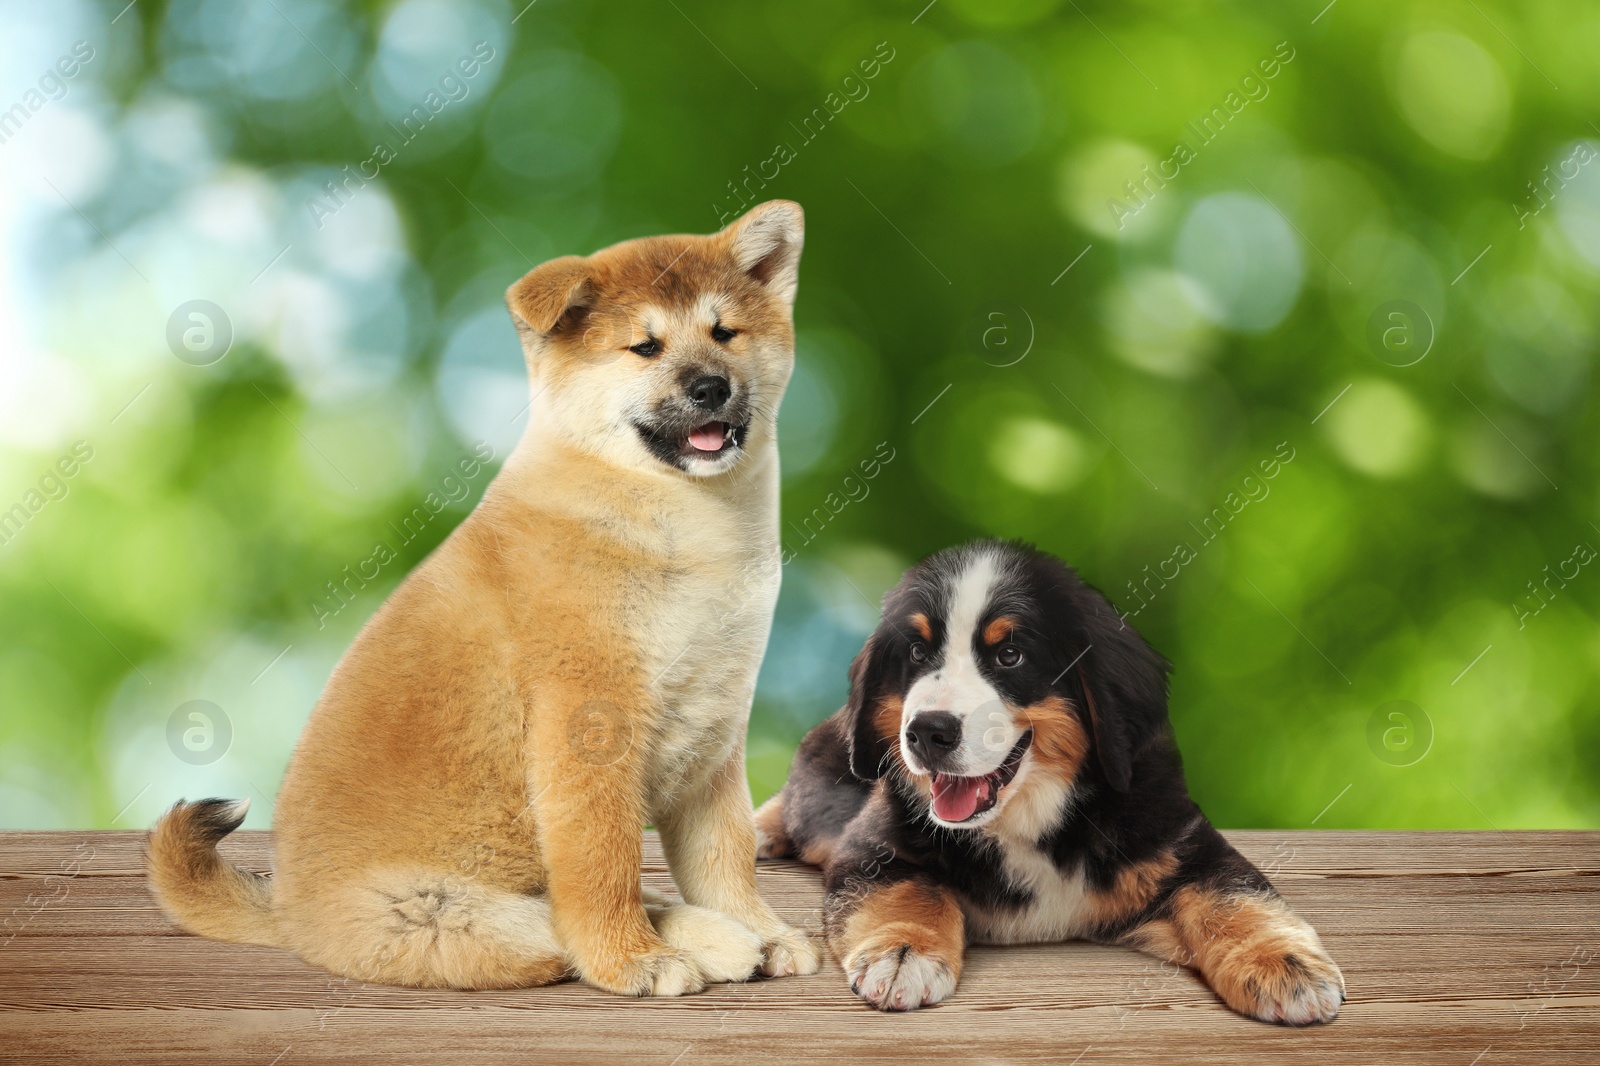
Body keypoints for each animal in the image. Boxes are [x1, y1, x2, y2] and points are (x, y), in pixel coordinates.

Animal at [147, 201, 825, 998]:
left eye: (725, 333)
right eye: (643, 347)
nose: (711, 387)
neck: (679, 524)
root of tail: (286, 911)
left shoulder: (714, 736)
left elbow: (724, 860)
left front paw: (763, 930)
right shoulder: (589, 727)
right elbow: (604, 864)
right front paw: (631, 959)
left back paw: (724, 938)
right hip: (449, 915)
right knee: (551, 928)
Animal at [755, 541, 1344, 1024]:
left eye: (1009, 655)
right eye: (918, 654)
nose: (926, 732)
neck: (1030, 817)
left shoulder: (1183, 839)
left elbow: (1233, 894)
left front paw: (1284, 965)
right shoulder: (873, 843)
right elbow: (908, 888)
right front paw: (904, 953)